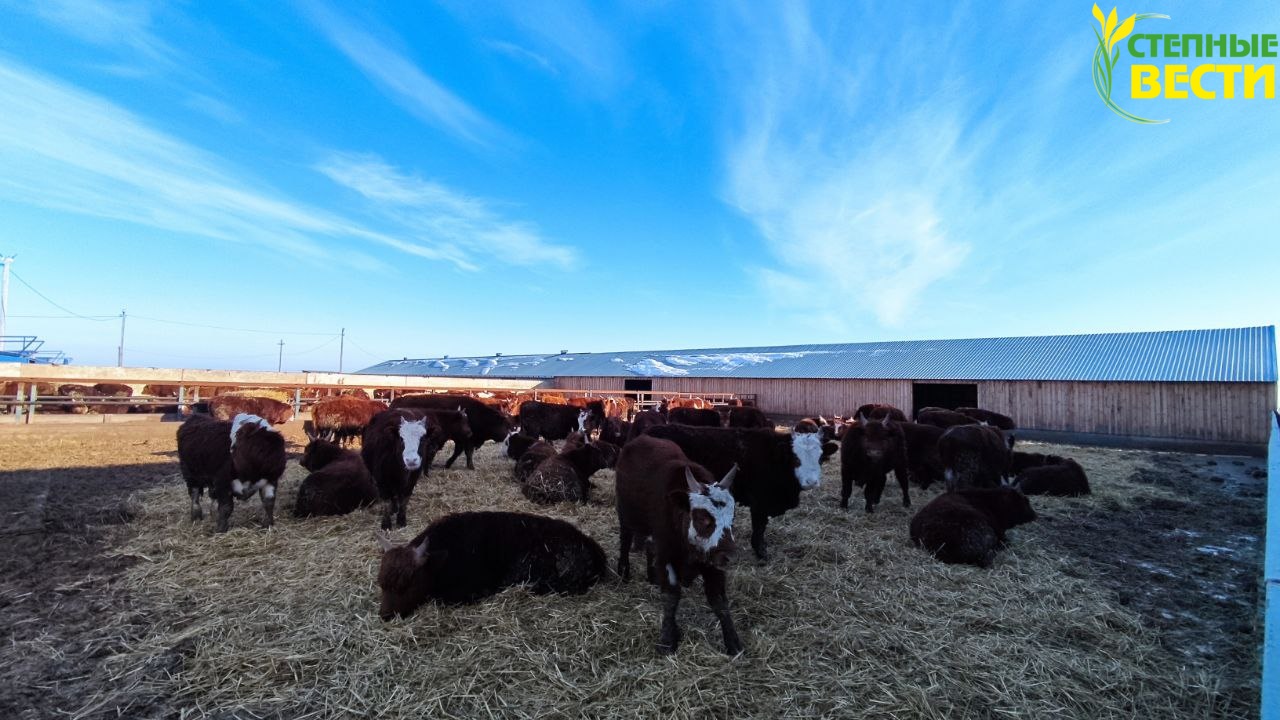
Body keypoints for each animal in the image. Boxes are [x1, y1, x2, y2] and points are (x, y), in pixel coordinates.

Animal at [645, 422, 824, 558]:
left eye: (820, 457)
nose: (811, 481)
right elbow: (759, 527)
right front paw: (761, 552)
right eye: (796, 458)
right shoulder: (760, 502)